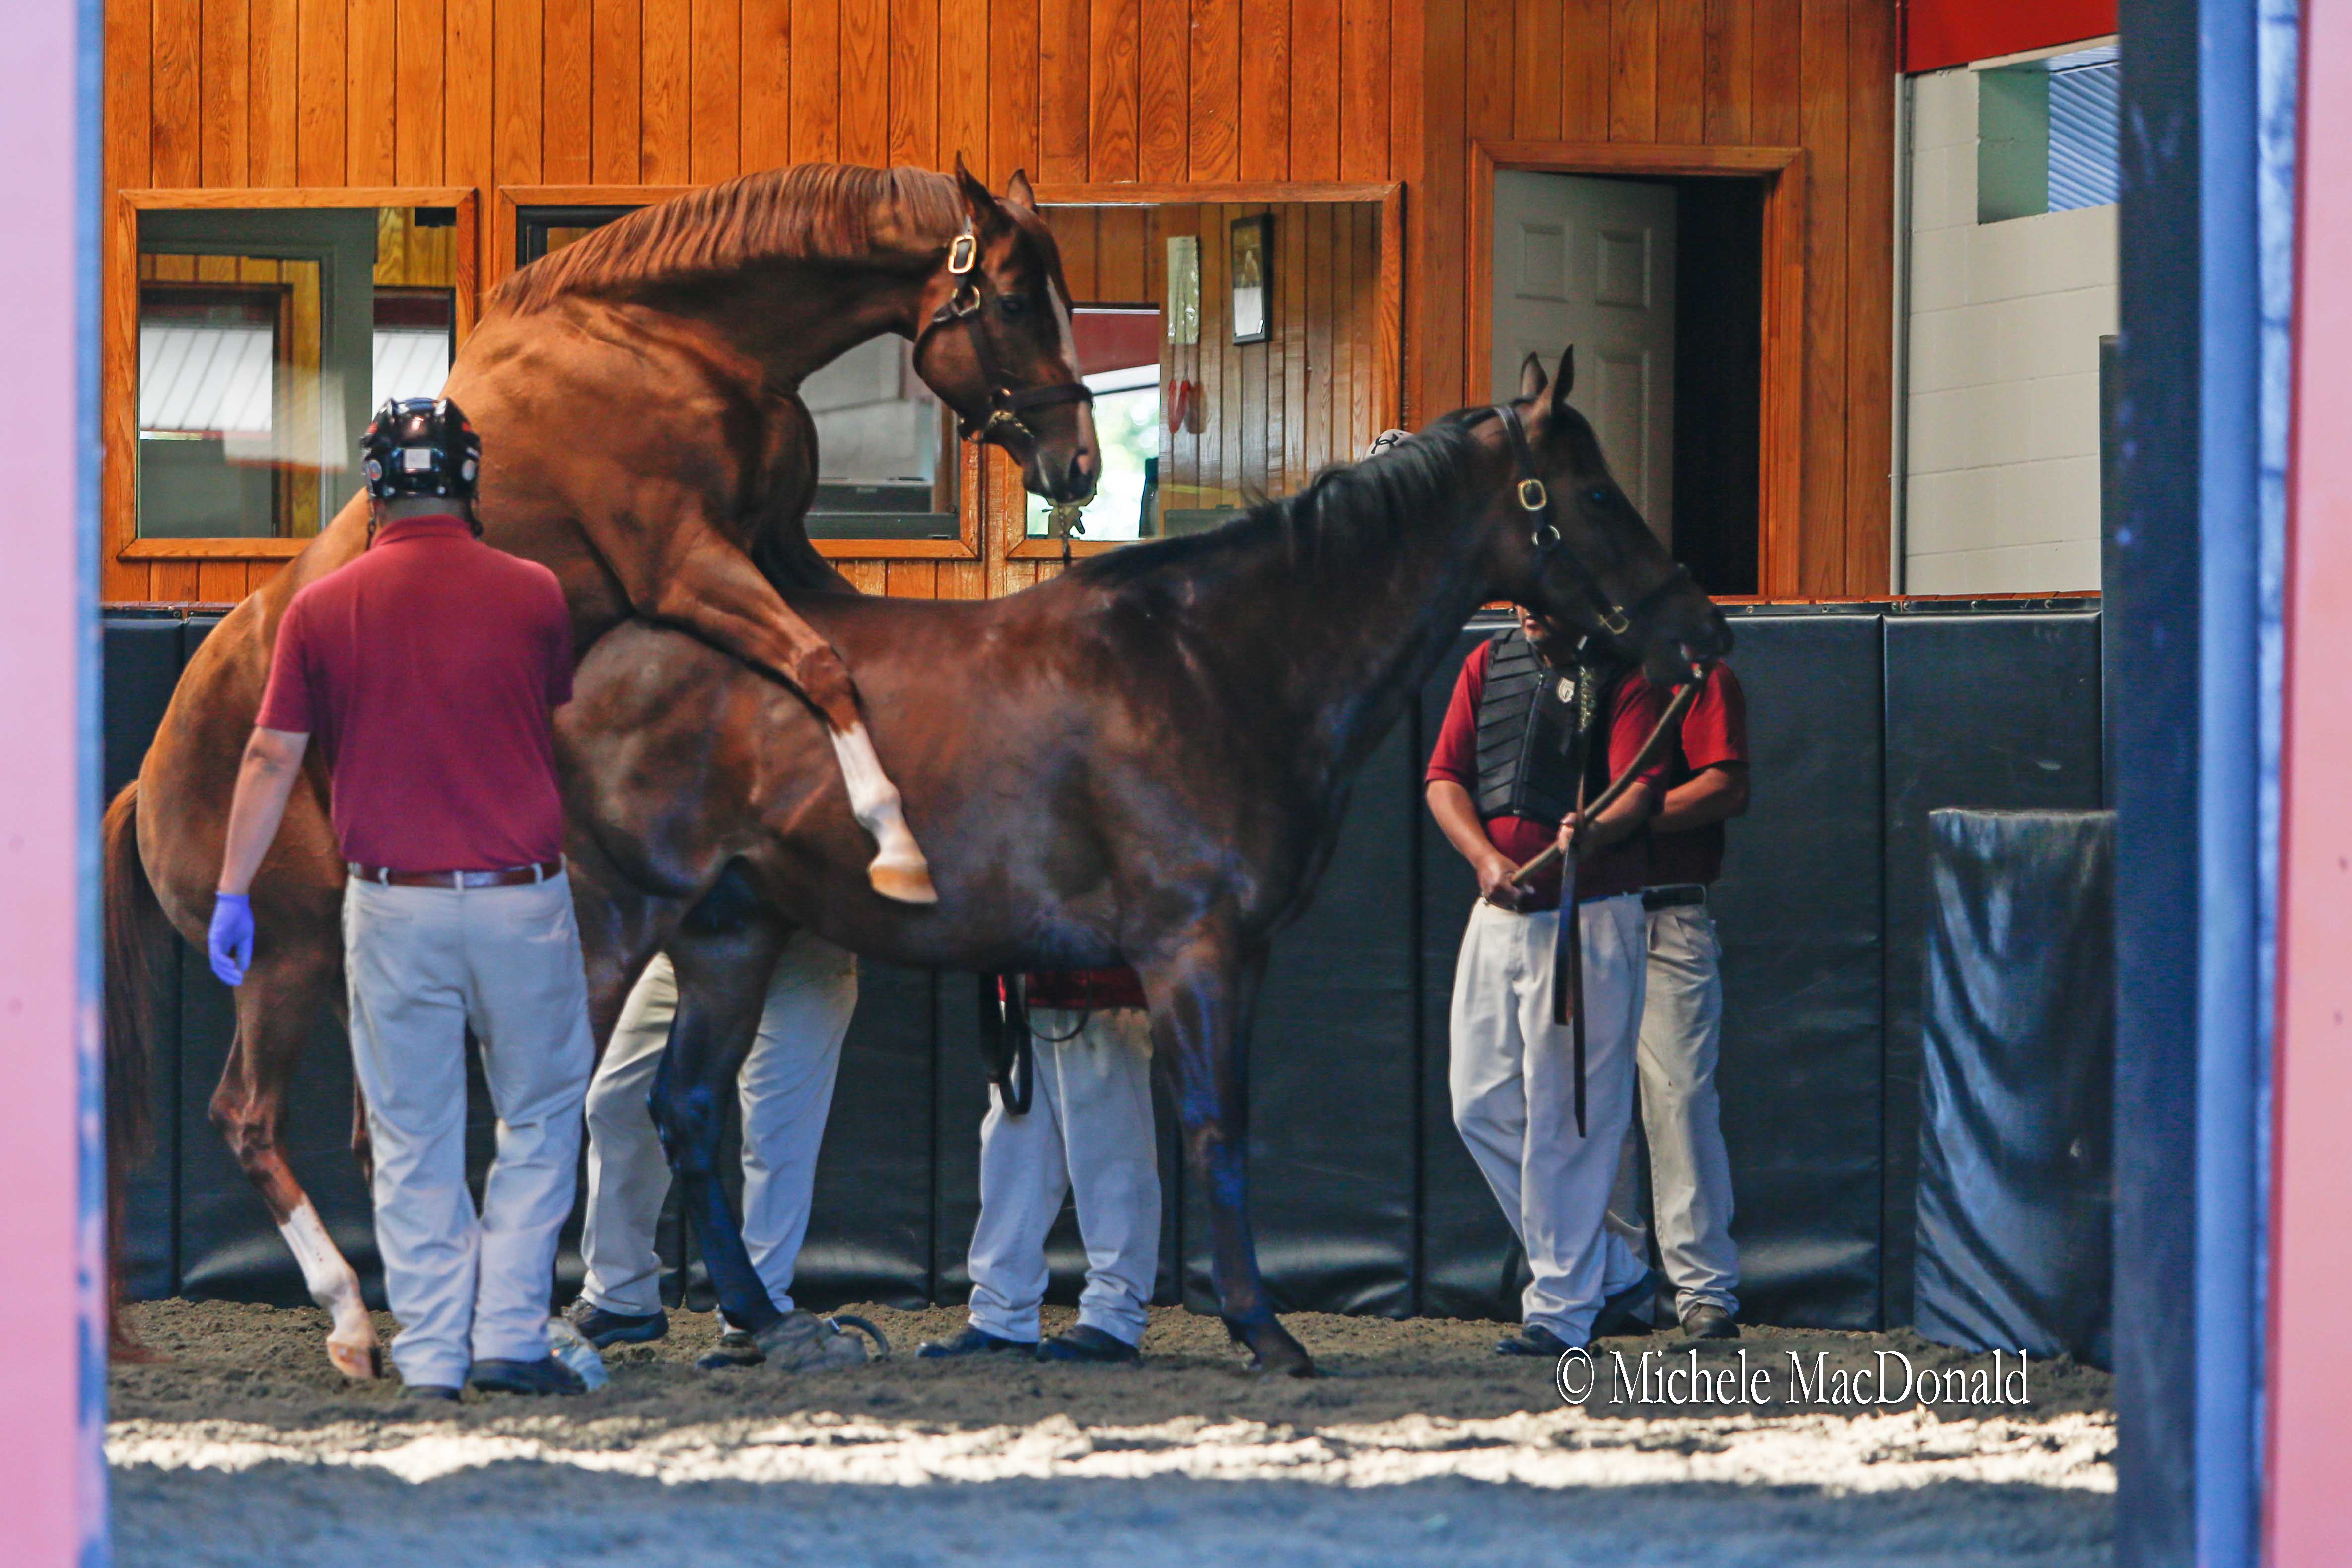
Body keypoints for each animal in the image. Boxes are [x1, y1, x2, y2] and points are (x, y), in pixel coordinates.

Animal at [106, 160, 1096, 1382]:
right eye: (1008, 302)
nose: (1079, 464)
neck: (670, 342)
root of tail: (147, 786)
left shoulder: (777, 548)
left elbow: (849, 646)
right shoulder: (690, 560)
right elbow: (823, 663)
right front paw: (894, 839)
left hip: (342, 964)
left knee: (377, 1127)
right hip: (282, 962)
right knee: (247, 1117)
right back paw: (350, 1319)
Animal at [550, 352, 1731, 1372]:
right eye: (1591, 494)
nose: (1701, 632)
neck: (1215, 661)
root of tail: (600, 655)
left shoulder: (1236, 955)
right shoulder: (1191, 947)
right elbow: (1214, 1125)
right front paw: (1263, 1329)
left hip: (729, 934)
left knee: (687, 1107)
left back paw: (766, 1320)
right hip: (614, 922)